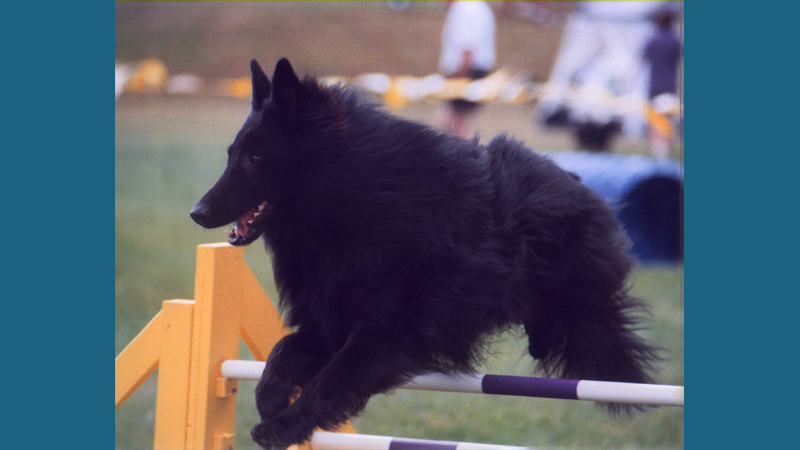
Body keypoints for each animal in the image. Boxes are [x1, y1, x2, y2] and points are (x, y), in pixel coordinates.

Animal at [191, 59, 660, 450]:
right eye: (232, 154)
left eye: (255, 157)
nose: (197, 212)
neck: (353, 204)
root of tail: (580, 185)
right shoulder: (332, 321)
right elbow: (282, 351)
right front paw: (271, 398)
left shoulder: (386, 332)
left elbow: (330, 381)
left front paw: (284, 426)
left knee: (576, 312)